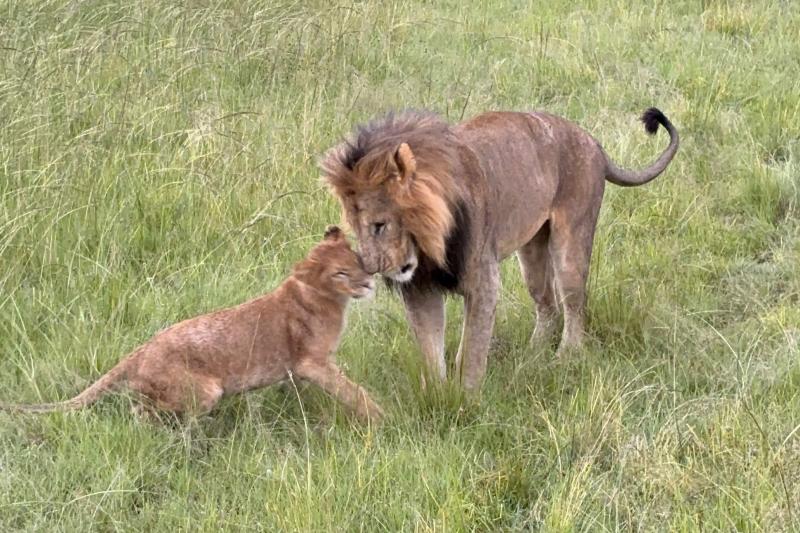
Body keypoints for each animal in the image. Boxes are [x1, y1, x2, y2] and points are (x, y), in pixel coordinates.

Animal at [0, 227, 384, 422]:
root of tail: (140, 351)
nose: (369, 281)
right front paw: (380, 417)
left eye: (356, 259)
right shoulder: (311, 363)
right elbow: (353, 391)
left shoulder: (301, 369)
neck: (330, 300)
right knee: (144, 407)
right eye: (340, 273)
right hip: (205, 391)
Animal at [322, 108, 680, 390]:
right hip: (532, 253)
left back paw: (565, 357)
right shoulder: (421, 288)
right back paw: (533, 355)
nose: (372, 269)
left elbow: (472, 351)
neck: (429, 247)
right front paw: (437, 397)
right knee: (548, 305)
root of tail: (592, 142)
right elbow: (431, 350)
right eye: (355, 228)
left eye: (379, 225)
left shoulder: (484, 282)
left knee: (575, 304)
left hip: (572, 239)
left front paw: (465, 402)